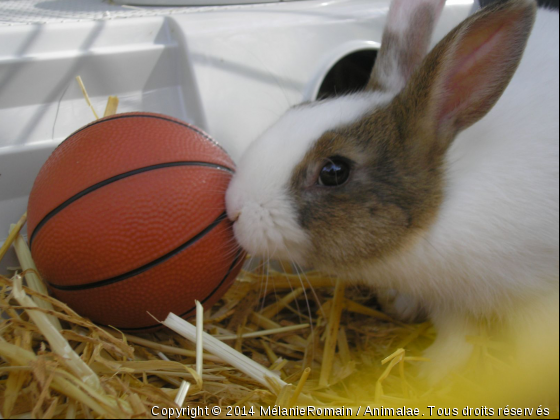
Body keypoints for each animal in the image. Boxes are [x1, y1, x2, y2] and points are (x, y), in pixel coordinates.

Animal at [225, 0, 556, 382]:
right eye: (295, 110)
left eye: (334, 171)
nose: (233, 208)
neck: (439, 211)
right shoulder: (448, 302)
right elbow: (457, 338)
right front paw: (429, 375)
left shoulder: (540, 303)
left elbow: (535, 355)